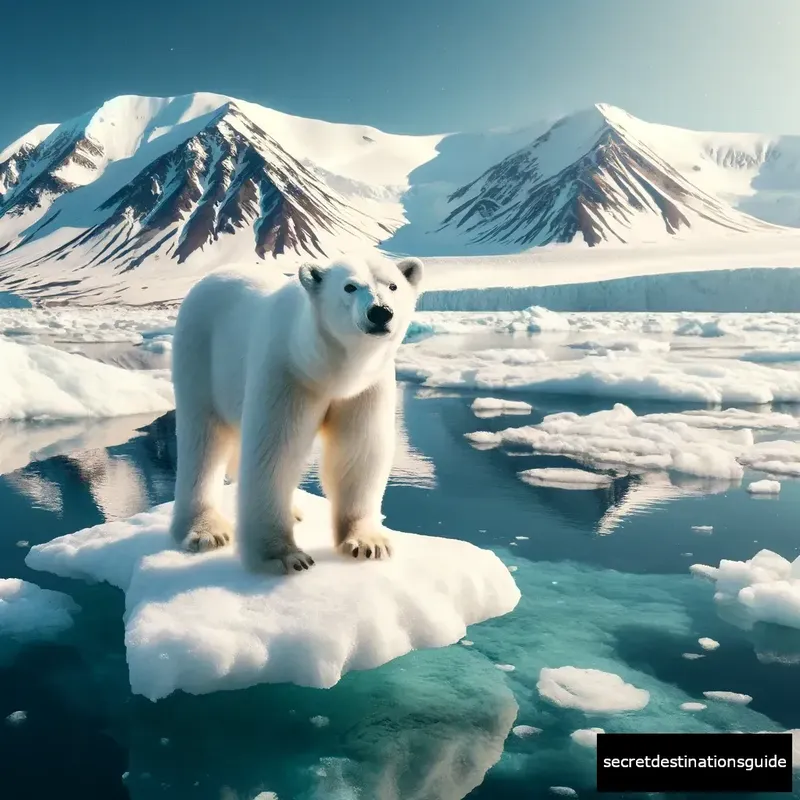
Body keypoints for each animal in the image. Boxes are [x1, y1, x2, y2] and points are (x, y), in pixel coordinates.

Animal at [166, 253, 422, 572]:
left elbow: (359, 450)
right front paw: (285, 556)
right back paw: (205, 531)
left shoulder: (364, 389)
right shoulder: (287, 372)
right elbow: (276, 452)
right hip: (201, 356)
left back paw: (293, 510)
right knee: (203, 441)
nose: (380, 312)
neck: (327, 368)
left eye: (393, 285)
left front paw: (368, 543)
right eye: (350, 286)